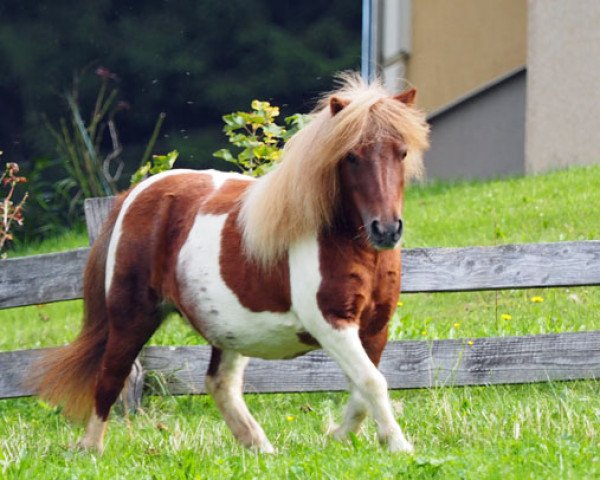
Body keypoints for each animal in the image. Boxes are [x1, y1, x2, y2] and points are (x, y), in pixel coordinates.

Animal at [32, 75, 428, 454]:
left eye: (402, 152)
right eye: (351, 156)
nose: (386, 229)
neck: (349, 243)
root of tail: (135, 193)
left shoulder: (375, 326)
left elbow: (363, 388)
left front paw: (338, 437)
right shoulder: (331, 322)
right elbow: (372, 382)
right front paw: (398, 446)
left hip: (229, 328)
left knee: (220, 383)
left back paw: (260, 447)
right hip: (132, 316)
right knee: (110, 377)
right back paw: (90, 449)